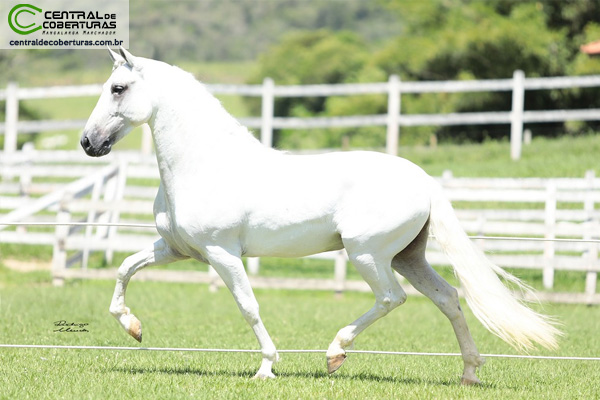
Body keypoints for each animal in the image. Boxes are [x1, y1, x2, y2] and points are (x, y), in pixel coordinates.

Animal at [82, 47, 560, 384]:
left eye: (118, 89)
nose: (88, 142)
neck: (203, 165)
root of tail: (424, 181)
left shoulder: (222, 253)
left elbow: (248, 306)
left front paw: (266, 368)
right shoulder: (177, 250)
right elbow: (125, 268)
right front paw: (133, 327)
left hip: (367, 254)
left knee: (392, 298)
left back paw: (335, 353)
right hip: (409, 257)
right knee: (448, 298)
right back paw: (469, 373)